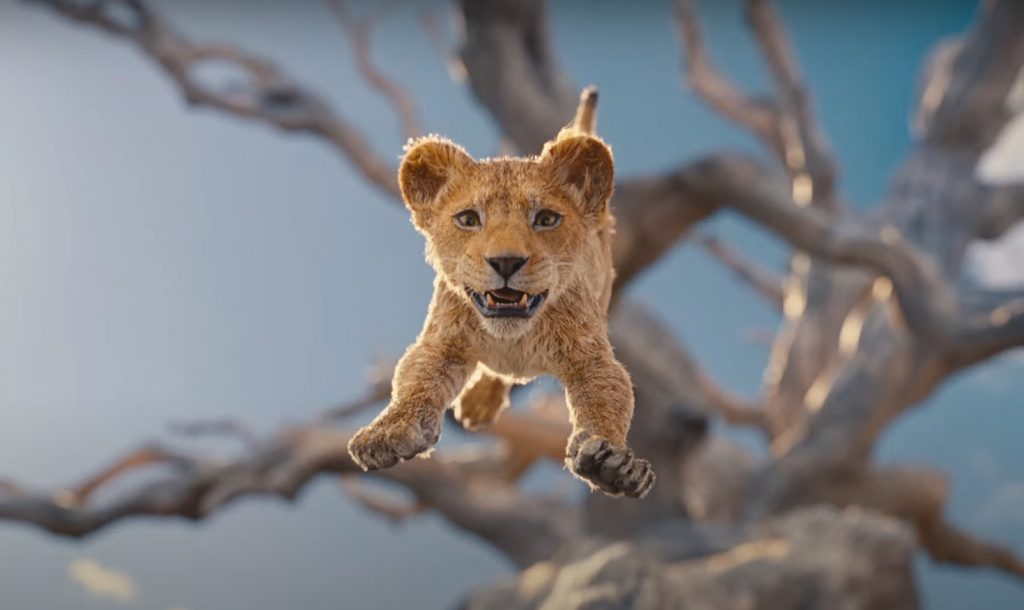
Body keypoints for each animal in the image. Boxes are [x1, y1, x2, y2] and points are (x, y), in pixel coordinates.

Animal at [347, 89, 654, 498]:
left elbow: (608, 397)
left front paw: (613, 464)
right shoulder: (442, 341)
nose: (506, 261)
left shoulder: (590, 356)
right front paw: (387, 433)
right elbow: (415, 381)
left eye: (546, 219)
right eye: (468, 219)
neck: (514, 338)